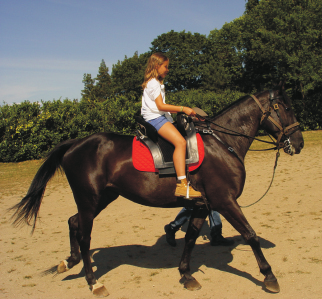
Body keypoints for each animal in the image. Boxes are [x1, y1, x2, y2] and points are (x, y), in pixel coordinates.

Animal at [10, 83, 304, 296]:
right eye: (285, 108)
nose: (299, 142)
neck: (222, 143)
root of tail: (76, 143)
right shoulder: (225, 201)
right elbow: (251, 235)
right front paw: (269, 276)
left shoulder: (202, 204)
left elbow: (191, 238)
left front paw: (186, 274)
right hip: (89, 200)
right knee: (84, 235)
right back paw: (94, 282)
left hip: (101, 198)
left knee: (73, 222)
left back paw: (69, 261)